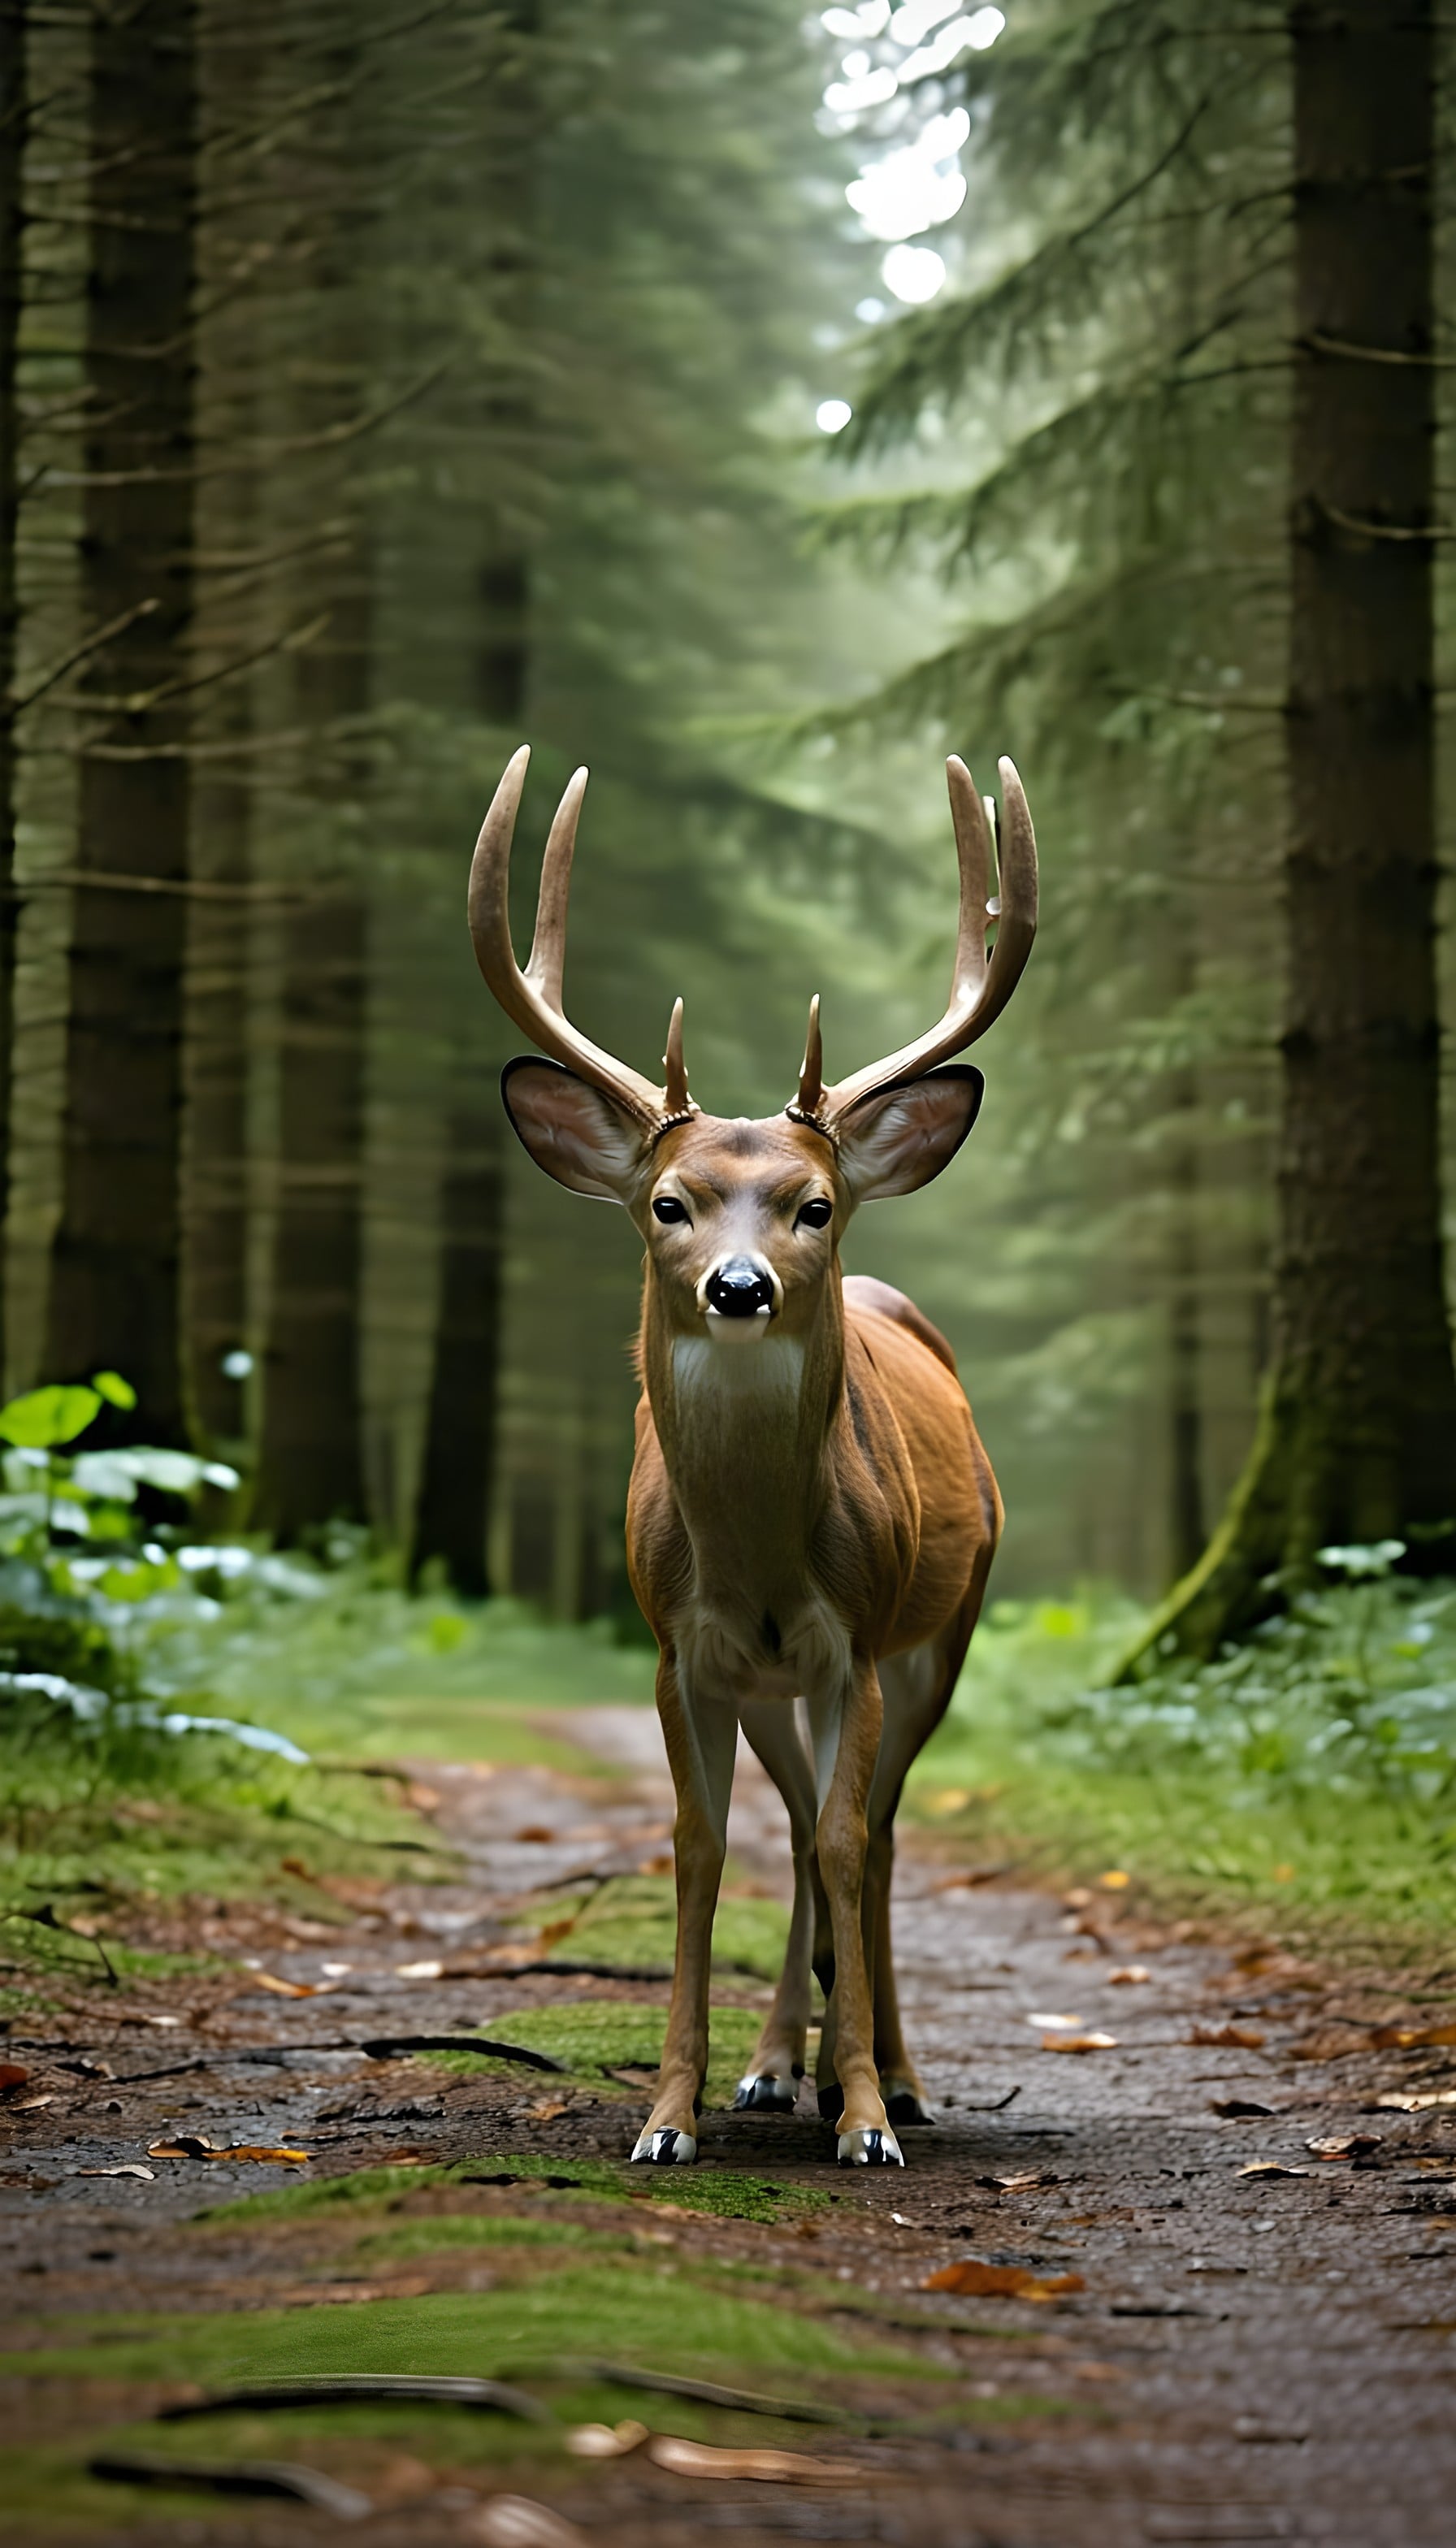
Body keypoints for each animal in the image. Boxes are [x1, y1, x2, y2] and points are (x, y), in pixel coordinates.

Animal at [468, 745, 1037, 2166]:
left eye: (813, 1204)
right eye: (668, 1204)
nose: (740, 1286)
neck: (764, 1557)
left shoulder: (857, 1637)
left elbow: (844, 1840)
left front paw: (869, 2116)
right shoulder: (685, 1648)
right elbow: (701, 1845)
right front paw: (672, 2113)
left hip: (944, 1629)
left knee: (873, 1833)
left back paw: (888, 2072)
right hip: (778, 1688)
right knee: (793, 1824)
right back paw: (781, 2062)